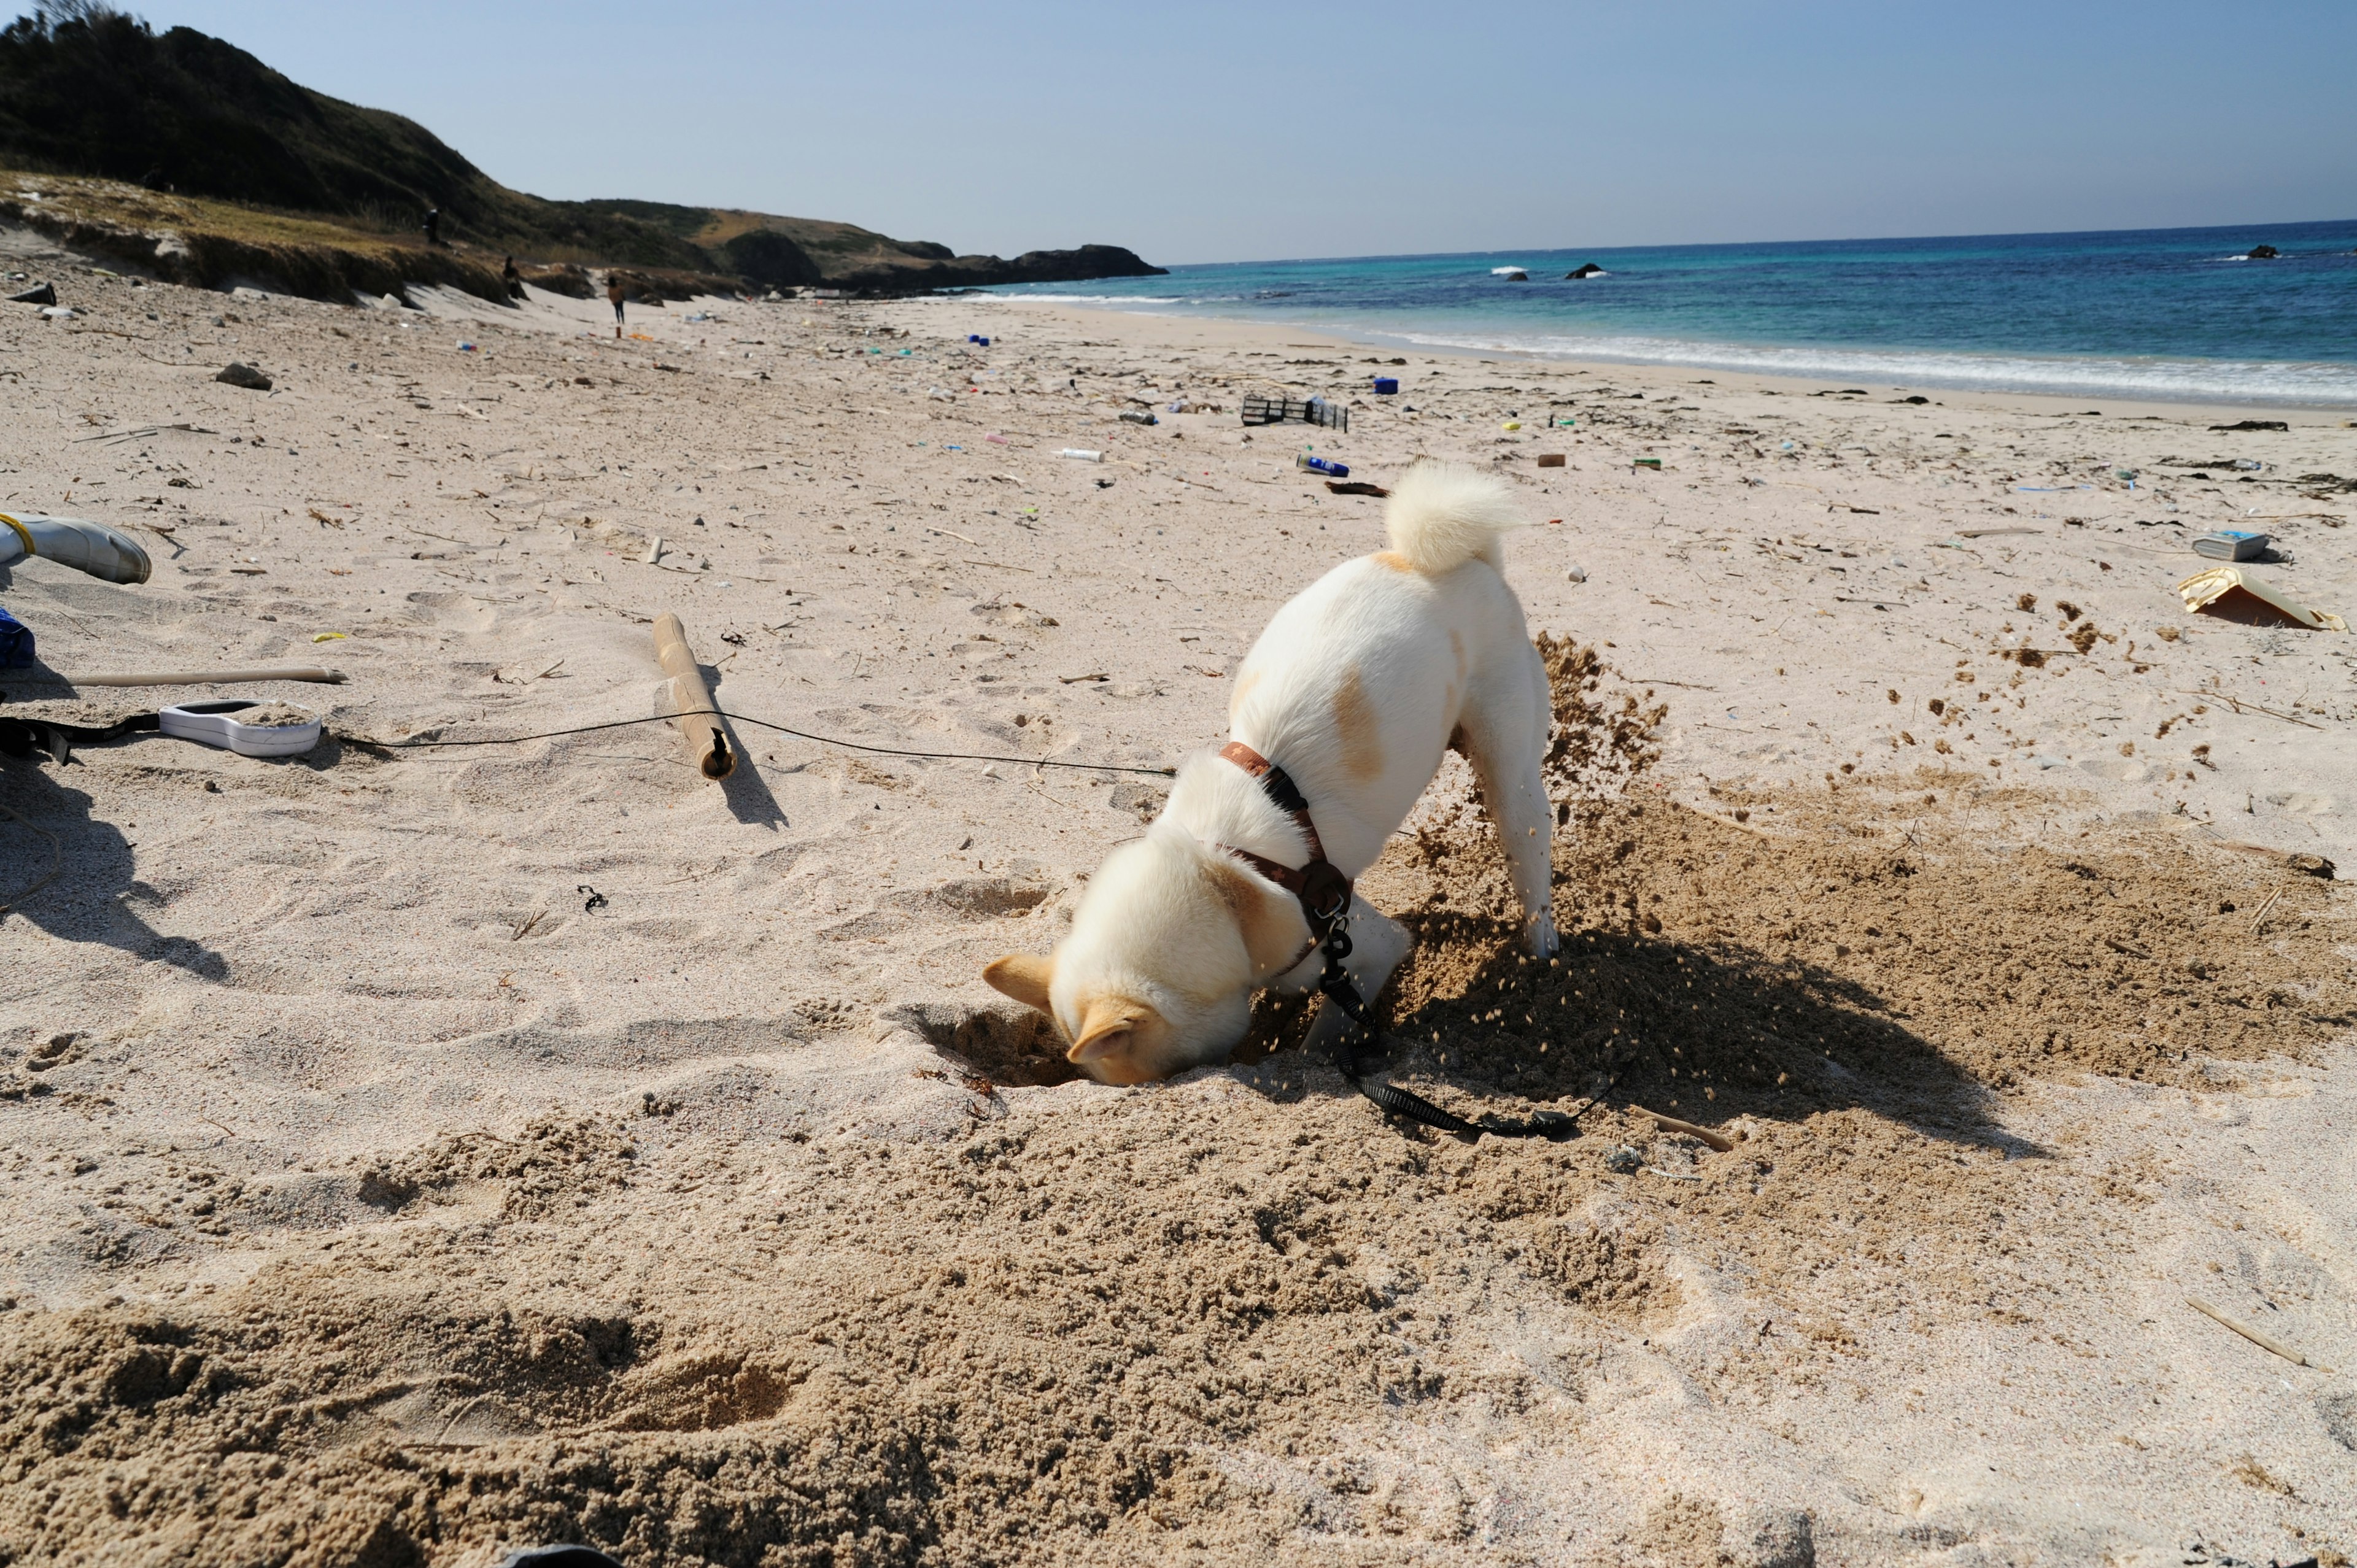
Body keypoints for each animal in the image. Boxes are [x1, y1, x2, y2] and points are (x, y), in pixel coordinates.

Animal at [985, 460, 1555, 1084]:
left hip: (1508, 766)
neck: (1221, 880)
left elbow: (1328, 1035)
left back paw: (1543, 956)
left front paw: (1311, 1060)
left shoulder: (1354, 949)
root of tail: (1462, 561)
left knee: (1530, 849)